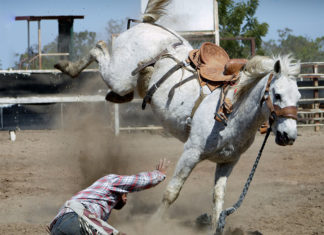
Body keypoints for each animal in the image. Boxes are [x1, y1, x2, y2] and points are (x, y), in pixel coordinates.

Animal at [53, 0, 302, 232]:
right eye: (277, 95)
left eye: (298, 97)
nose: (289, 136)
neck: (233, 112)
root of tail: (147, 24)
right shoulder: (190, 153)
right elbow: (172, 192)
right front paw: (153, 224)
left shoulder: (228, 162)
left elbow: (218, 199)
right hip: (119, 76)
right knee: (99, 48)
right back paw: (67, 66)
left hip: (124, 83)